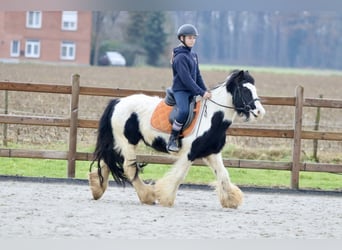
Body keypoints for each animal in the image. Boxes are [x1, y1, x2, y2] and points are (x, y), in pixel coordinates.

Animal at [87, 69, 264, 208]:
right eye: (245, 90)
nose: (260, 112)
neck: (212, 117)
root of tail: (118, 101)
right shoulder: (189, 154)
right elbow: (179, 176)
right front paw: (165, 198)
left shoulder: (212, 153)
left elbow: (223, 175)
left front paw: (231, 200)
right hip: (127, 143)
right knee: (129, 168)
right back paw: (147, 196)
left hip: (118, 143)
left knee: (107, 162)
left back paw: (97, 190)